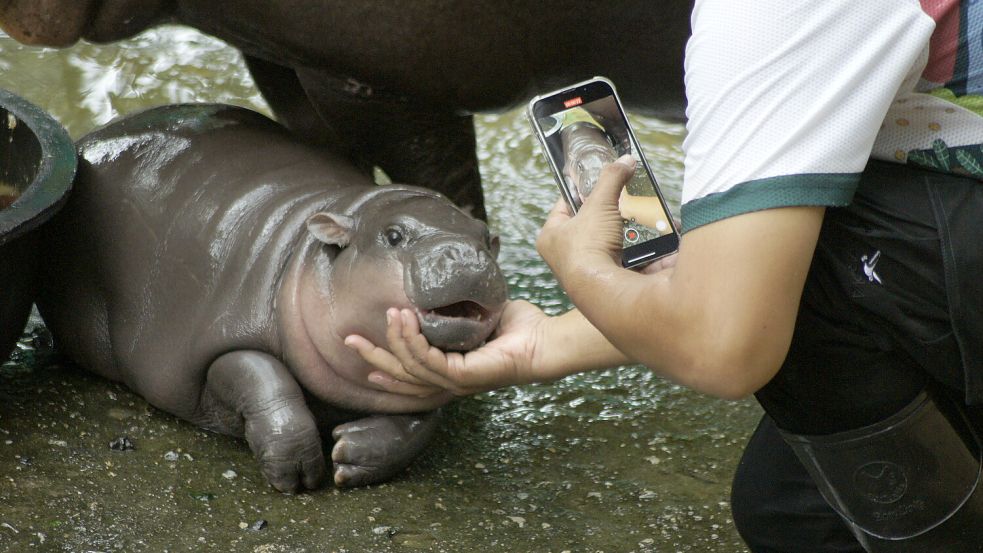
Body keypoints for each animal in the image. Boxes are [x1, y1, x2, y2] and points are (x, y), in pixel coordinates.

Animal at [34, 103, 508, 492]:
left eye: (488, 238)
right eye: (394, 236)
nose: (464, 254)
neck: (307, 248)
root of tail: (89, 141)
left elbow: (418, 424)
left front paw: (351, 457)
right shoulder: (221, 342)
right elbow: (265, 381)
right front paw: (297, 474)